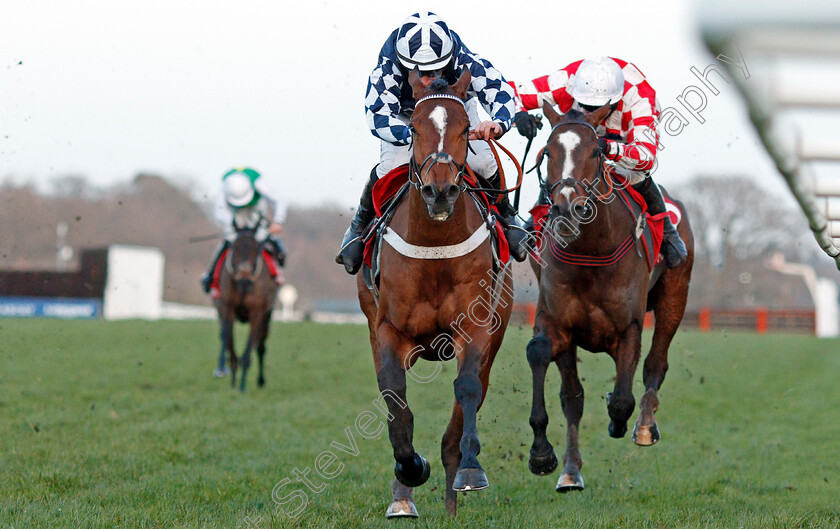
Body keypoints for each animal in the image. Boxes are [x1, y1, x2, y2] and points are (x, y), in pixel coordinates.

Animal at [213, 221, 278, 390]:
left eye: (256, 249)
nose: (244, 279)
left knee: (261, 346)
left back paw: (260, 380)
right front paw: (231, 377)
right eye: (235, 248)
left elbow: (251, 345)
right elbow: (227, 338)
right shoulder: (226, 309)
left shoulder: (257, 312)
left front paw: (242, 385)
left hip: (267, 317)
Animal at [358, 69, 516, 516]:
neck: (434, 247)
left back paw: (451, 500)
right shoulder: (389, 331)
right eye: (413, 128)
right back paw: (403, 498)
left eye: (465, 128)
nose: (440, 192)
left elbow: (466, 390)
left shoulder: (476, 330)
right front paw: (410, 471)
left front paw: (470, 472)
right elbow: (395, 402)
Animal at [524, 102, 696, 490]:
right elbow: (547, 365)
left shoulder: (628, 327)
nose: (567, 208)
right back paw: (570, 470)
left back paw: (645, 425)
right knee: (572, 395)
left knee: (655, 364)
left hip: (675, 296)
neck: (591, 251)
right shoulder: (558, 323)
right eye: (548, 152)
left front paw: (619, 421)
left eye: (595, 152)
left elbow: (621, 399)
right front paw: (544, 455)